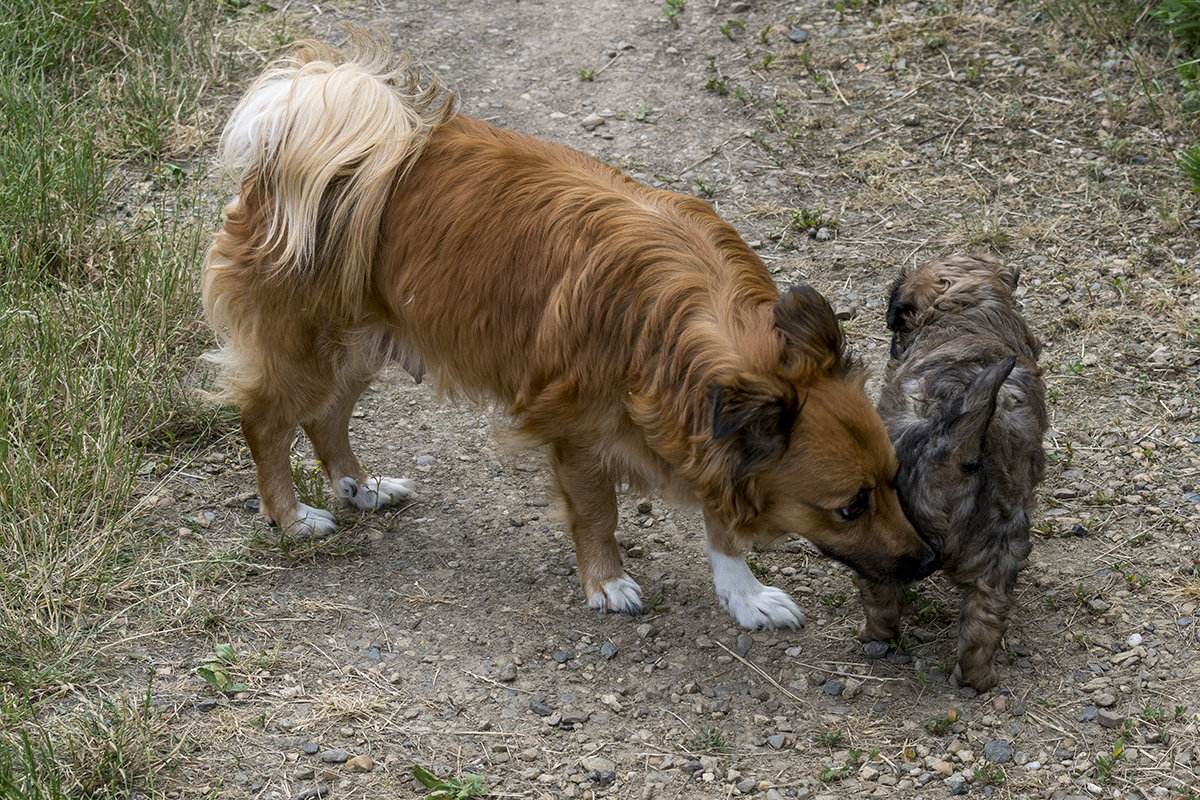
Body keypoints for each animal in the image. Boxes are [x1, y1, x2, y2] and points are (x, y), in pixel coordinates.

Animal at [206, 28, 936, 633]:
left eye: (894, 481)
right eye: (849, 508)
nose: (928, 560)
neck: (687, 324)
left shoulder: (703, 432)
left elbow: (719, 521)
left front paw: (743, 593)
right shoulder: (579, 434)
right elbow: (598, 513)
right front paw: (606, 583)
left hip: (363, 345)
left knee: (325, 417)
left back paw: (360, 487)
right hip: (307, 345)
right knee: (265, 420)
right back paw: (291, 516)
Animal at [859, 256, 1046, 695]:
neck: (964, 312)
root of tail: (954, 448)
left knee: (883, 599)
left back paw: (877, 638)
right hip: (1002, 545)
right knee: (984, 621)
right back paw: (980, 679)